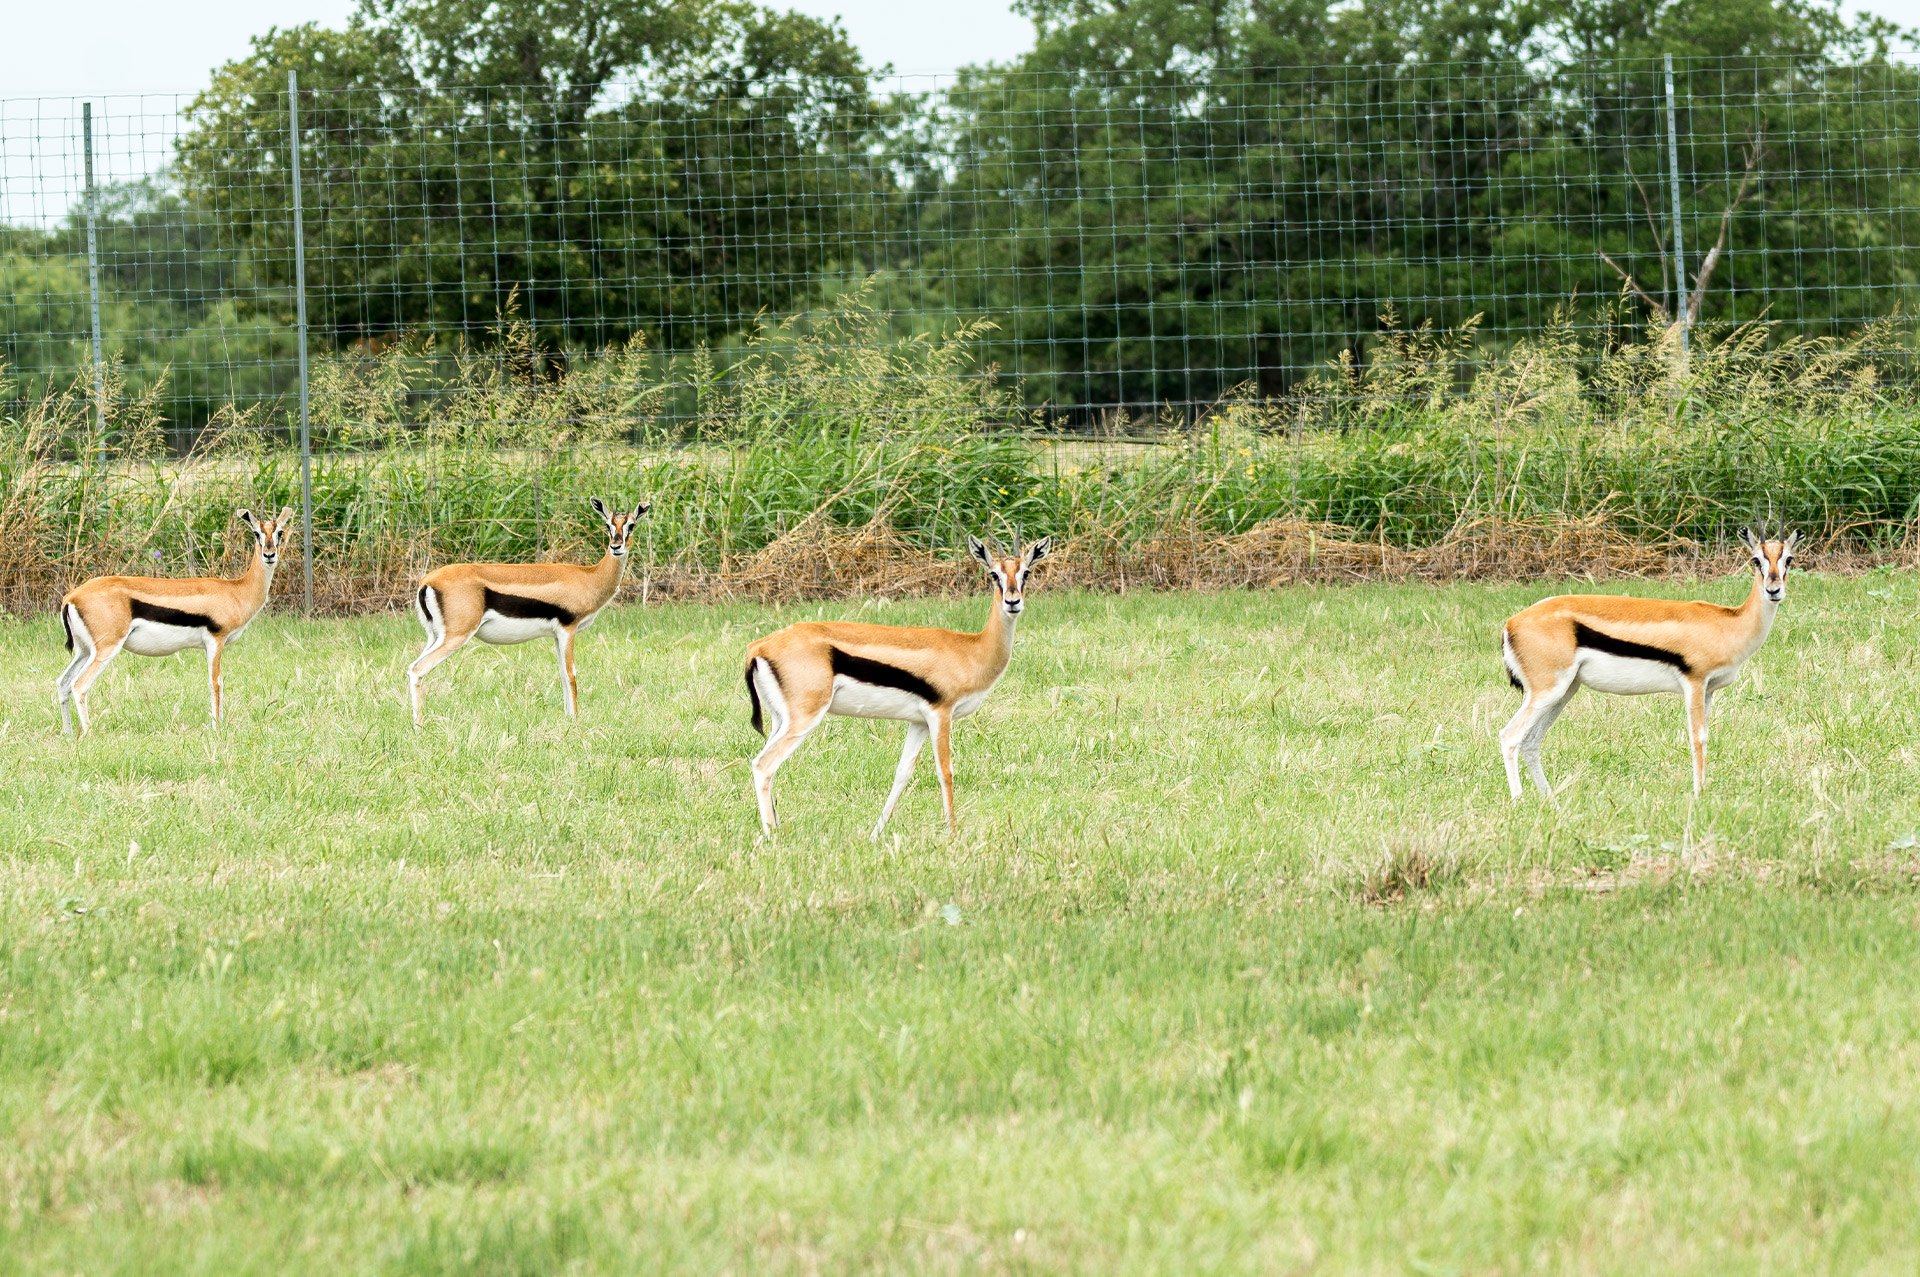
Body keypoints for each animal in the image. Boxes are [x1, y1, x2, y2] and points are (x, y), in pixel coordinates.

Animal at [56, 507, 294, 736]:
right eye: (256, 533)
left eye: (280, 532)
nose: (269, 555)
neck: (237, 590)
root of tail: (72, 596)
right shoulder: (216, 640)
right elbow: (216, 683)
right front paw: (217, 728)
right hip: (106, 649)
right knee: (79, 685)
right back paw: (89, 734)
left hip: (84, 651)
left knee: (63, 683)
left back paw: (68, 733)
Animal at [407, 497, 647, 726]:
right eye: (608, 524)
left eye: (631, 525)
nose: (616, 546)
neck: (589, 577)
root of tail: (427, 581)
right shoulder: (567, 630)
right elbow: (571, 674)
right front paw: (575, 720)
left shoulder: (556, 635)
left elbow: (562, 674)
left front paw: (568, 718)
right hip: (457, 636)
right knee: (417, 669)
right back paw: (419, 726)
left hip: (435, 636)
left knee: (413, 668)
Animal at [744, 534, 1052, 838]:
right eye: (993, 574)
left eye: (1026, 572)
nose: (1013, 601)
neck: (971, 649)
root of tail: (759, 646)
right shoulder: (941, 714)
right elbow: (945, 771)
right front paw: (952, 835)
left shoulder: (918, 722)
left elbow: (902, 774)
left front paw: (875, 835)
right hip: (804, 719)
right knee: (763, 765)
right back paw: (772, 837)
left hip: (780, 720)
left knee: (764, 764)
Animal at [1499, 523, 1800, 799]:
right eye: (1756, 560)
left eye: (1788, 559)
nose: (1773, 589)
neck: (1730, 623)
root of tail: (1511, 623)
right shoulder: (1694, 684)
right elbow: (1696, 738)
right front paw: (1698, 796)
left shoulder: (1709, 690)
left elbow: (1705, 737)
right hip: (1547, 692)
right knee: (1509, 736)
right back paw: (1519, 801)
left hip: (1564, 692)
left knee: (1531, 742)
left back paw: (1551, 800)